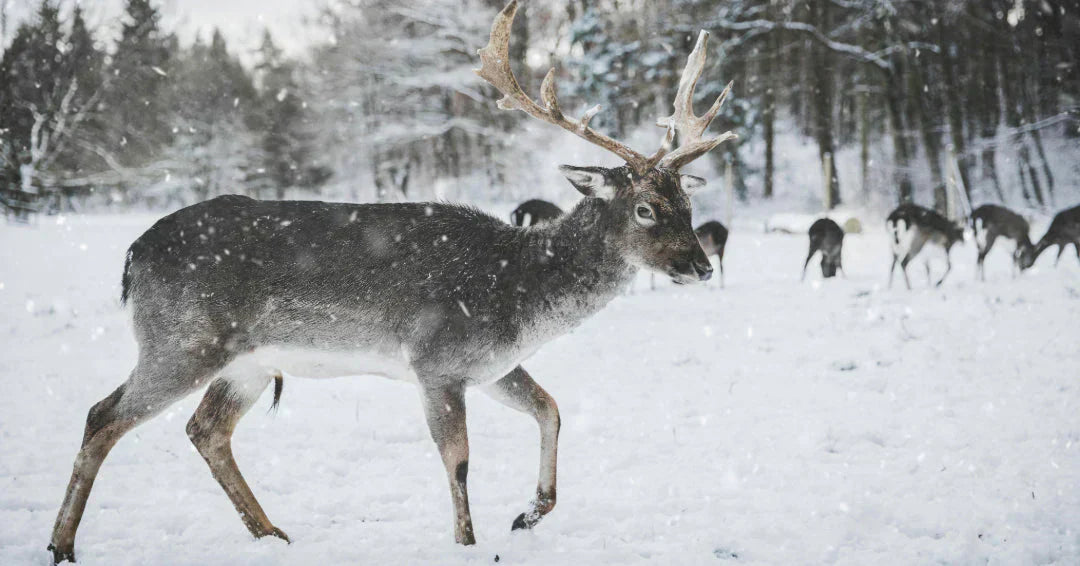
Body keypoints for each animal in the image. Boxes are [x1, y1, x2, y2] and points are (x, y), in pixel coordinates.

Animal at [46, 2, 736, 563]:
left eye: (687, 202)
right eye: (644, 208)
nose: (700, 265)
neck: (520, 294)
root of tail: (132, 256)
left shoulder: (490, 364)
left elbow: (551, 409)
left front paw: (528, 514)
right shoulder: (437, 359)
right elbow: (459, 461)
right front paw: (468, 542)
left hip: (245, 362)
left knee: (205, 429)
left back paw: (272, 534)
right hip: (182, 339)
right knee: (102, 415)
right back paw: (63, 545)